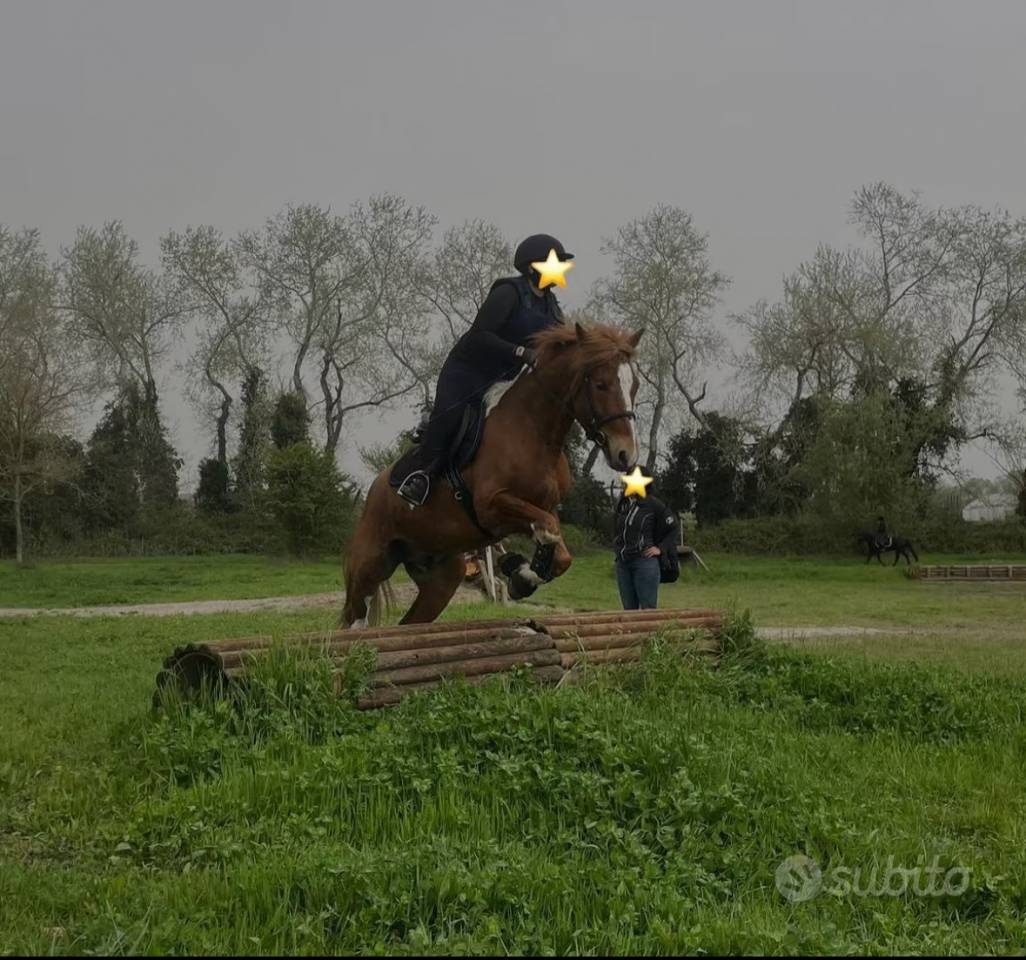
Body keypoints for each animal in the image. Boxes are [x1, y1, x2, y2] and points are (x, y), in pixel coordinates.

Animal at [342, 321, 644, 627]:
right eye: (601, 385)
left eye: (635, 386)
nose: (626, 455)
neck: (533, 432)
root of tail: (375, 487)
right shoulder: (490, 506)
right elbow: (547, 530)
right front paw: (519, 572)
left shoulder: (543, 508)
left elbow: (559, 551)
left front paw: (522, 575)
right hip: (371, 563)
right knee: (356, 617)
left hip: (441, 578)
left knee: (412, 621)